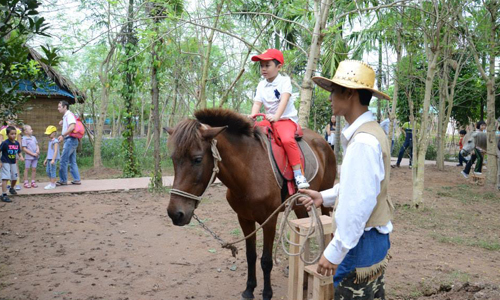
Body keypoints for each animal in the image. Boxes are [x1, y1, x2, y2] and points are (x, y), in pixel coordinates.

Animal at [165, 109, 336, 300]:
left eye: (197, 159)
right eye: (173, 159)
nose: (175, 213)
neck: (250, 170)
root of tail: (322, 141)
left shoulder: (269, 221)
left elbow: (266, 260)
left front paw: (267, 293)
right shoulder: (244, 219)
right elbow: (251, 255)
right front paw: (249, 289)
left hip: (324, 199)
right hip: (299, 204)